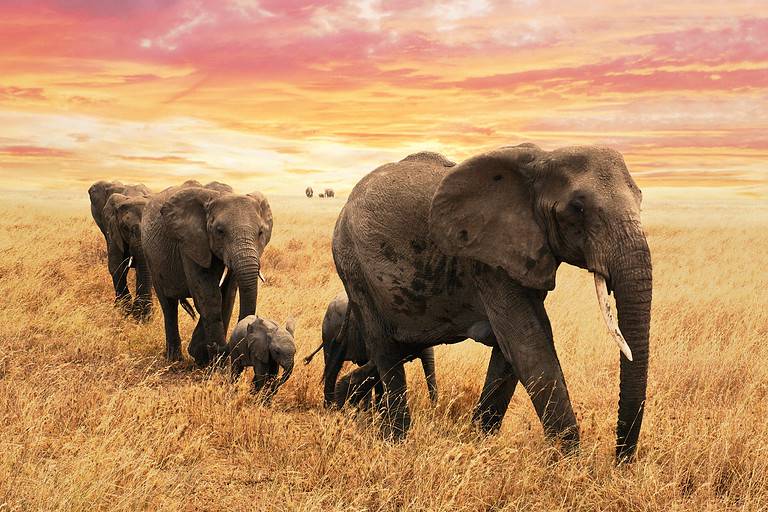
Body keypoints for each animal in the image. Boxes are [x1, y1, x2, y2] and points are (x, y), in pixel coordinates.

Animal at [141, 183, 273, 366]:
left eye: (260, 232)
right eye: (220, 231)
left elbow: (228, 294)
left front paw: (203, 355)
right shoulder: (190, 242)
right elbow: (209, 295)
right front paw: (216, 362)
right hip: (150, 258)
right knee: (168, 305)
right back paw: (174, 359)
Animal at [329, 144, 652, 463]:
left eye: (640, 199)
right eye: (577, 208)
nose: (620, 462)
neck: (545, 157)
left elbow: (512, 350)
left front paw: (479, 441)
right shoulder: (488, 261)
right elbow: (528, 344)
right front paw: (569, 464)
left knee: (396, 350)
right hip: (353, 267)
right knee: (385, 349)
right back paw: (396, 440)